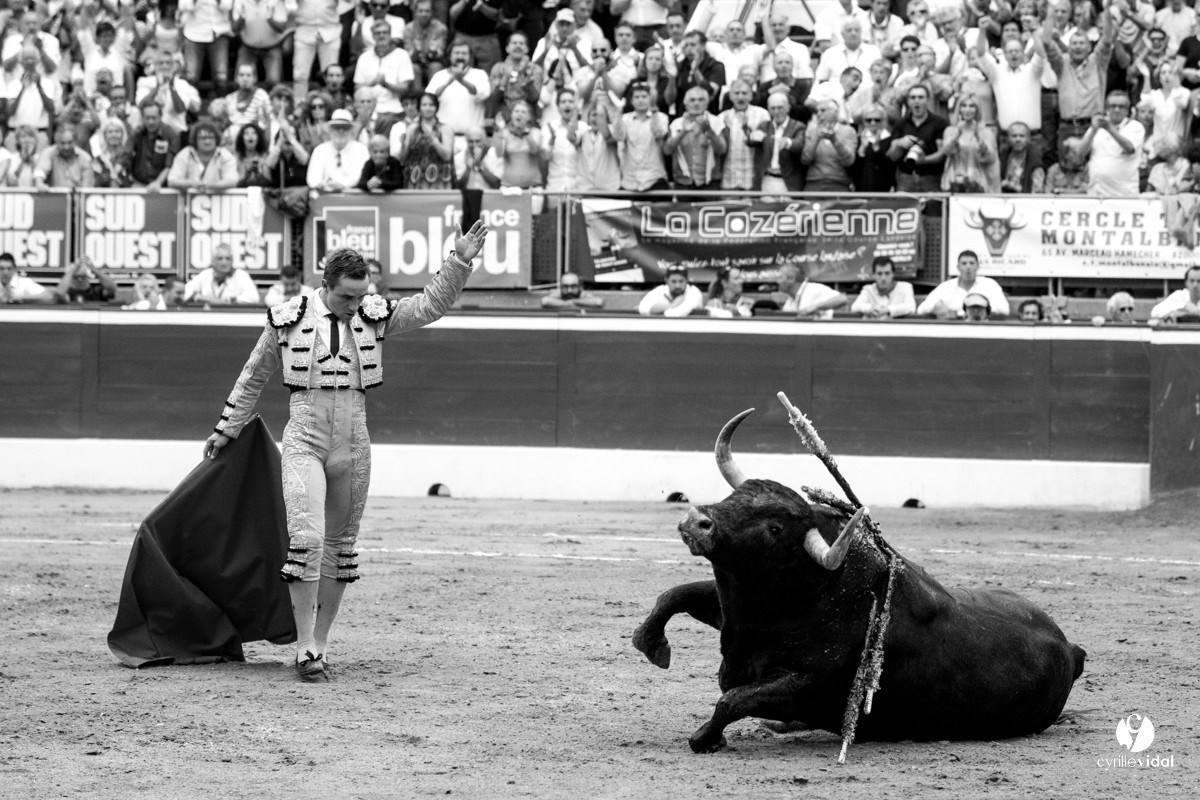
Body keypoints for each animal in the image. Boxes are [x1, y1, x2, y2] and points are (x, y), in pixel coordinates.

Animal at [633, 409, 1086, 754]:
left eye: (774, 528)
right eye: (739, 494)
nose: (696, 521)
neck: (812, 591)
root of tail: (1071, 649)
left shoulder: (803, 684)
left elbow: (732, 698)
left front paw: (705, 739)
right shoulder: (733, 607)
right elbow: (674, 595)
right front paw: (650, 643)